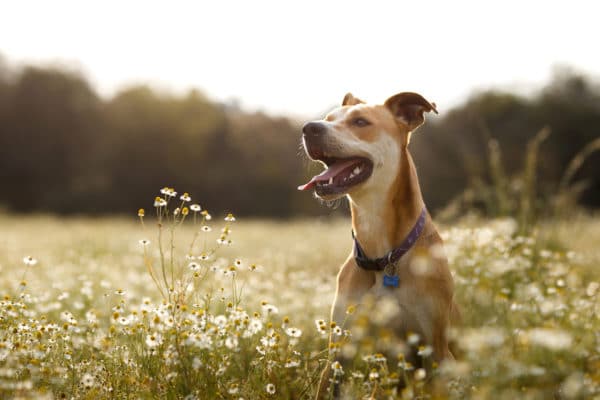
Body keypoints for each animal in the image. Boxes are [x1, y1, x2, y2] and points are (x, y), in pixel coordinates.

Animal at [298, 92, 458, 398]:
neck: (384, 256)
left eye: (361, 122)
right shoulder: (339, 350)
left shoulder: (434, 349)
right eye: (327, 119)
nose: (309, 128)